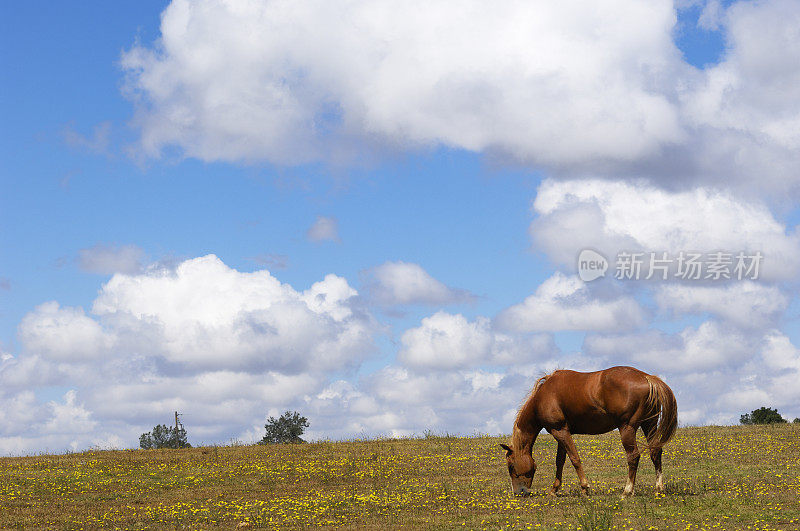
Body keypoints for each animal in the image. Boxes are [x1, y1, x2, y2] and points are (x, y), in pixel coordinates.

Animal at [500, 368, 676, 496]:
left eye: (511, 466)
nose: (518, 492)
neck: (544, 396)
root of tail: (647, 377)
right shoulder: (562, 432)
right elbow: (560, 461)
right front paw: (554, 489)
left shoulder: (560, 431)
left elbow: (575, 459)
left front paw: (584, 487)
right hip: (649, 425)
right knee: (655, 452)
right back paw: (659, 488)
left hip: (627, 428)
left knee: (633, 456)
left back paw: (627, 491)